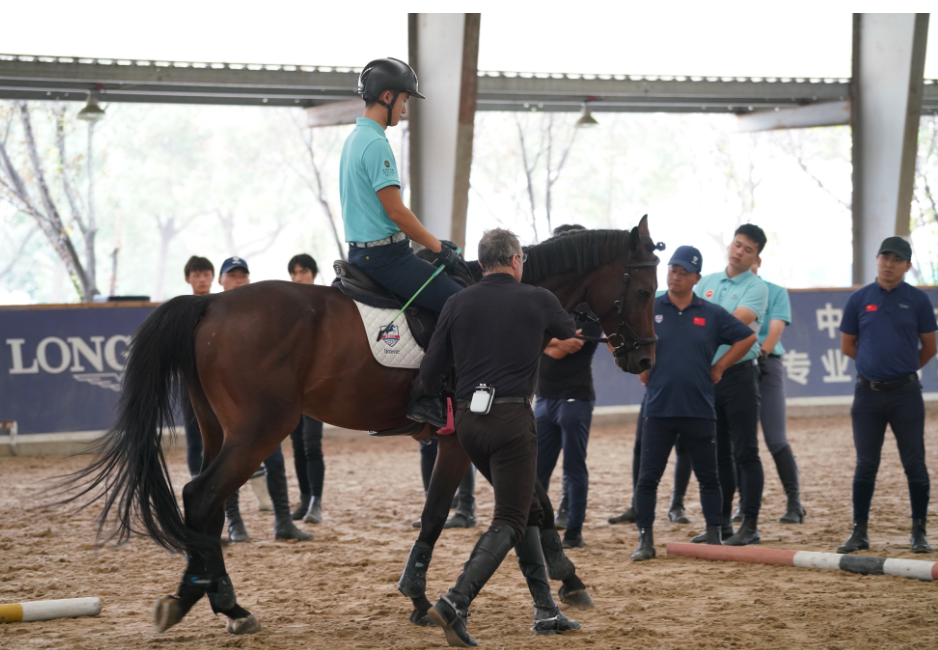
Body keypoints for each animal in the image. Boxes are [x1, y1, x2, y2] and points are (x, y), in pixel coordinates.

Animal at [61, 217, 660, 636]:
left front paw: (420, 596)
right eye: (643, 292)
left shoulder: (468, 440)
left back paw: (212, 601)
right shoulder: (468, 437)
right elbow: (521, 502)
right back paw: (221, 602)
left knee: (203, 504)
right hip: (258, 430)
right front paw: (568, 578)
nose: (644, 360)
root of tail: (210, 306)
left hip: (218, 431)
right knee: (202, 495)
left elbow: (463, 508)